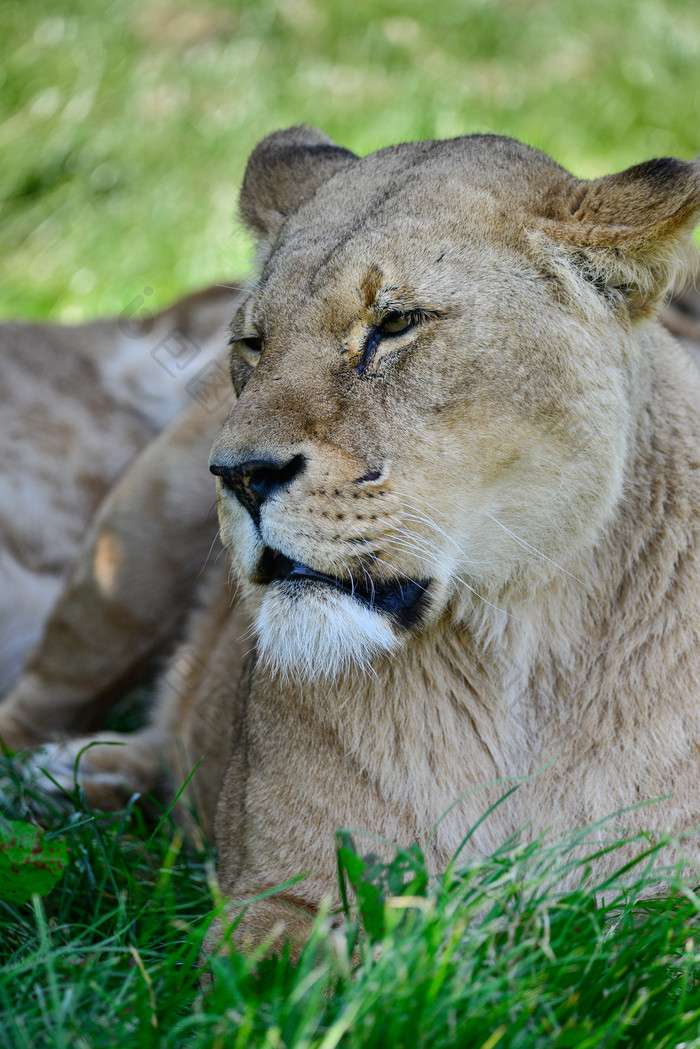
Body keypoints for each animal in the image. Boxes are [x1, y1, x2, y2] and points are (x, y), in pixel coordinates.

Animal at [1, 126, 700, 948]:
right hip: (122, 563)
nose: (239, 474)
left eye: (395, 323)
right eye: (253, 343)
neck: (515, 657)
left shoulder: (662, 927)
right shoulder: (273, 894)